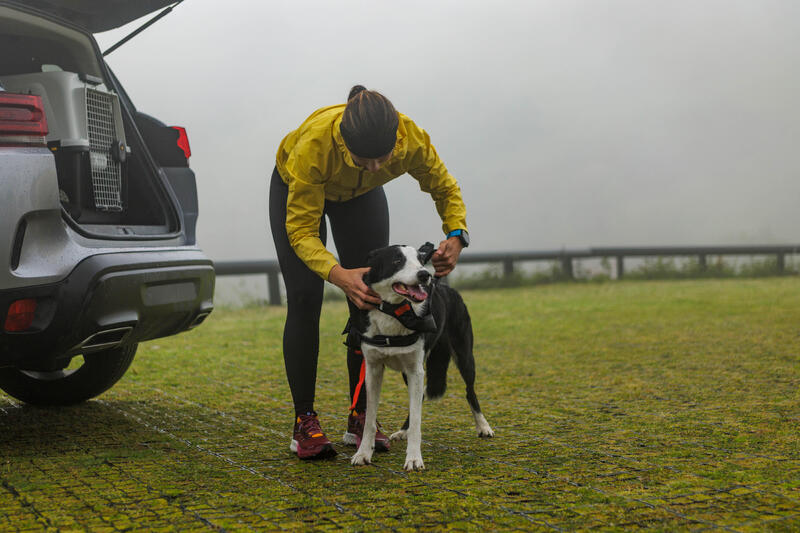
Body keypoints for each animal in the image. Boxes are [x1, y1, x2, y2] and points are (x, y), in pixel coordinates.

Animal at [346, 242, 494, 470]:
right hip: (409, 372)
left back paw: (483, 426)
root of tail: (443, 286)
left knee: (470, 392)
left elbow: (417, 419)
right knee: (422, 396)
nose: (425, 275)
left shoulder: (416, 370)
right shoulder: (373, 369)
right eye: (397, 260)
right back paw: (402, 431)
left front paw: (414, 458)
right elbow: (370, 418)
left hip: (464, 357)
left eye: (420, 259)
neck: (395, 312)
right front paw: (363, 453)